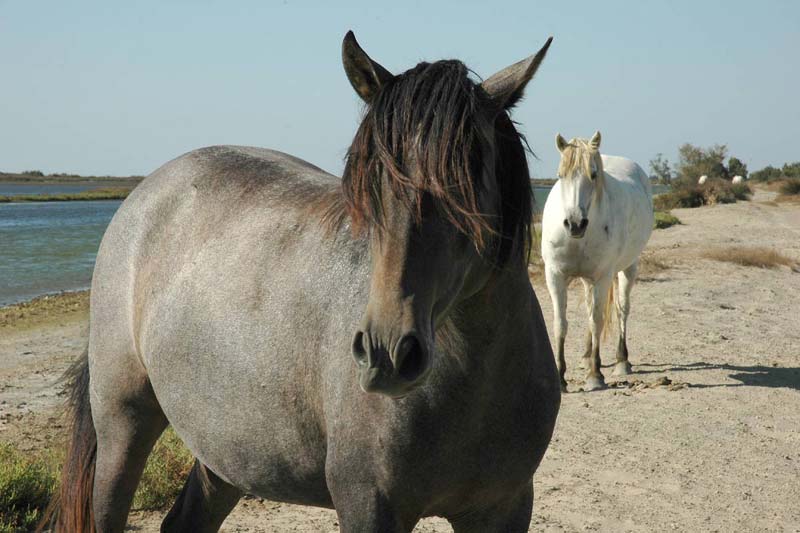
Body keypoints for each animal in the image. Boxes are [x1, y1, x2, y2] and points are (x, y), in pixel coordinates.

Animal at [47, 33, 560, 532]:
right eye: (370, 183)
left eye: (467, 179)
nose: (387, 353)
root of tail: (143, 194)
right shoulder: (368, 506)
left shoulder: (505, 508)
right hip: (122, 424)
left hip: (227, 451)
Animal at [540, 133, 652, 390]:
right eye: (560, 175)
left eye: (593, 174)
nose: (575, 224)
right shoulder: (555, 276)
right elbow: (560, 323)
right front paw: (560, 376)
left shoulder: (602, 277)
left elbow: (597, 321)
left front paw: (595, 375)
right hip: (587, 280)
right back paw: (585, 356)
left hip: (627, 268)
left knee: (622, 310)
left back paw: (622, 361)